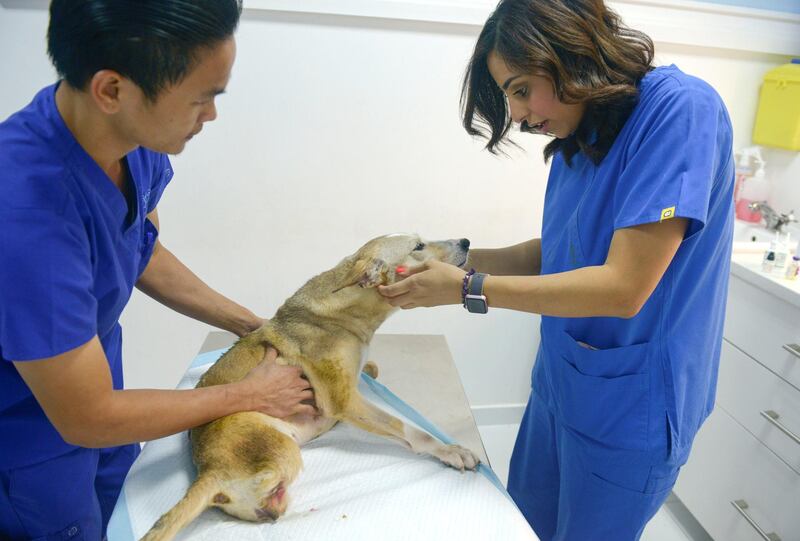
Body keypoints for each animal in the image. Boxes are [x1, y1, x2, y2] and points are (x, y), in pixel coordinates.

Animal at [141, 234, 482, 540]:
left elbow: (370, 368)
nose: (467, 241)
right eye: (418, 246)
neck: (347, 309)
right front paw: (450, 450)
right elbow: (412, 431)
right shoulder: (344, 400)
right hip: (281, 447)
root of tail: (209, 472)